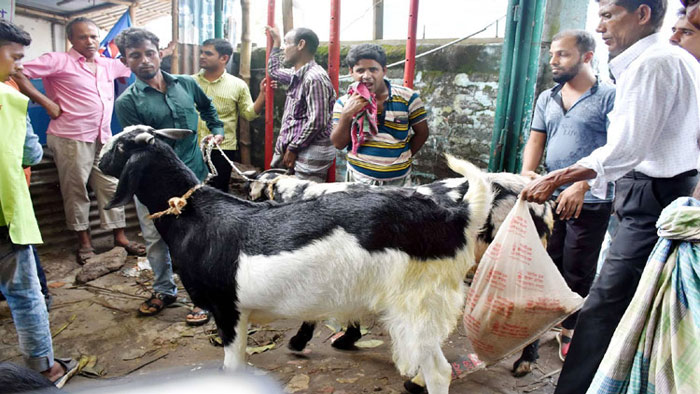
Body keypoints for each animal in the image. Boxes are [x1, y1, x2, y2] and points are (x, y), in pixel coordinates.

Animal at [100, 126, 492, 394]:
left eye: (120, 145)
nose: (101, 159)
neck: (195, 216)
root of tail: (457, 215)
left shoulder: (229, 309)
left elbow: (233, 368)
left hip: (420, 303)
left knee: (439, 370)